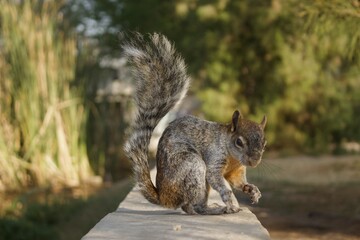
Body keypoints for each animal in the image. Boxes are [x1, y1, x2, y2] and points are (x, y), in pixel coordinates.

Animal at [124, 32, 268, 215]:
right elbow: (219, 182)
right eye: (239, 142)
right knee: (189, 206)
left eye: (264, 143)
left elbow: (238, 182)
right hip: (192, 166)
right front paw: (232, 203)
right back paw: (214, 210)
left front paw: (252, 190)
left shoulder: (237, 171)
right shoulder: (214, 159)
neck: (234, 158)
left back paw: (212, 207)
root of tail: (164, 198)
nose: (254, 162)